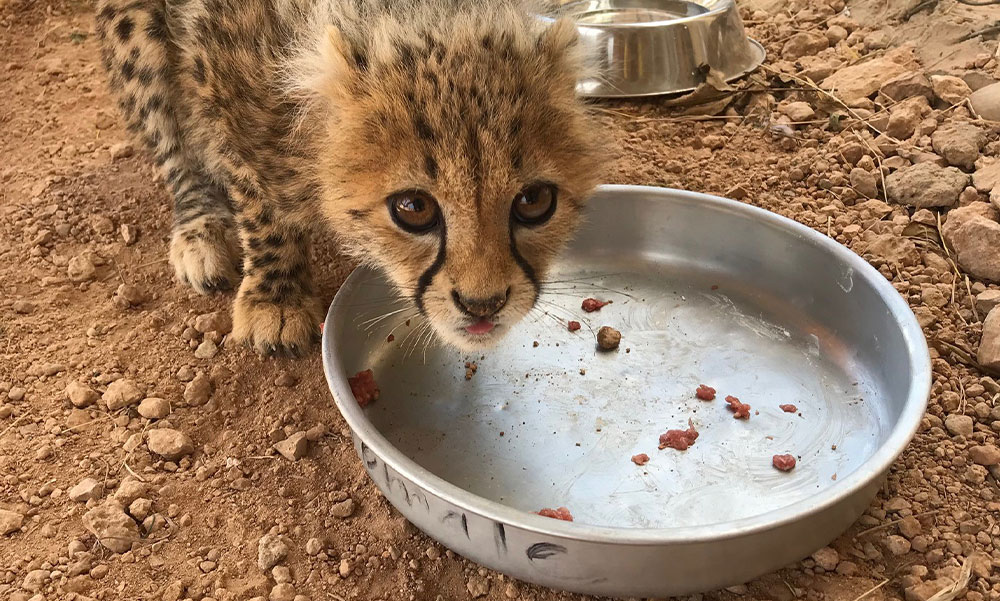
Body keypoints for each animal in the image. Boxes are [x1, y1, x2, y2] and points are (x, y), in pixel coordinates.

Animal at [95, 0, 604, 356]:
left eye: (534, 201)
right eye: (414, 208)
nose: (483, 305)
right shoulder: (218, 67)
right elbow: (259, 199)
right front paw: (274, 298)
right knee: (170, 142)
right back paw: (200, 229)